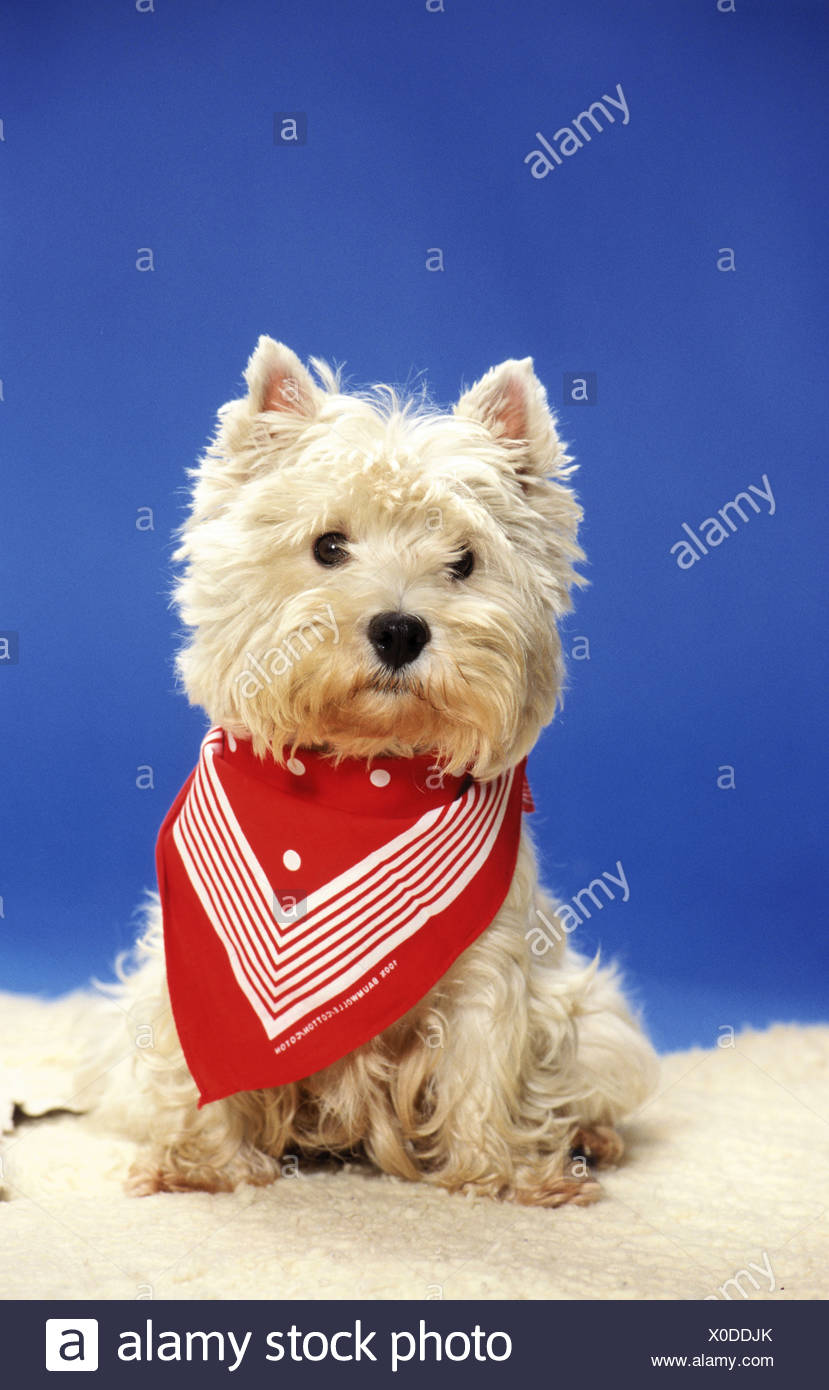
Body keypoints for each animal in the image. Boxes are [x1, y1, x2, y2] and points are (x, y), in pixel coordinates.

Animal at [87, 339, 656, 1206]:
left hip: (592, 1018)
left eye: (463, 561)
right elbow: (197, 1068)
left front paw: (501, 1176)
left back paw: (590, 1138)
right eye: (328, 546)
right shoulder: (190, 975)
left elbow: (483, 1065)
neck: (364, 774)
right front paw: (205, 1166)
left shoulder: (489, 963)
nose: (398, 630)